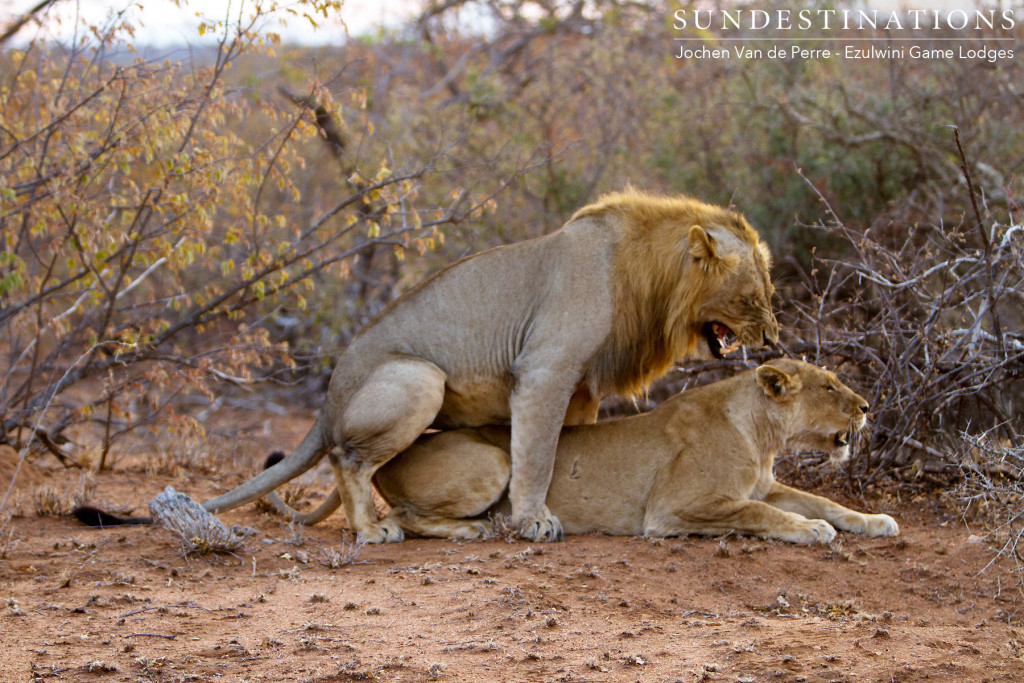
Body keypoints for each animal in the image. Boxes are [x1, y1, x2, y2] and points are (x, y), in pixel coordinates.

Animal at [74, 189, 774, 540]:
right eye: (753, 296)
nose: (772, 335)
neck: (648, 278)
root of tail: (327, 400)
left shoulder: (578, 389)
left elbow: (564, 449)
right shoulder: (545, 370)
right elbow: (535, 454)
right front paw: (533, 520)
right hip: (419, 377)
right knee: (346, 458)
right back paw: (372, 532)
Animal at [368, 358, 897, 544]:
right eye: (828, 387)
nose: (867, 406)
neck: (761, 435)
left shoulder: (766, 486)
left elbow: (823, 501)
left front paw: (875, 521)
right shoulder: (672, 508)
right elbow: (757, 514)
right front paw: (811, 530)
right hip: (494, 460)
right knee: (401, 515)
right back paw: (473, 529)